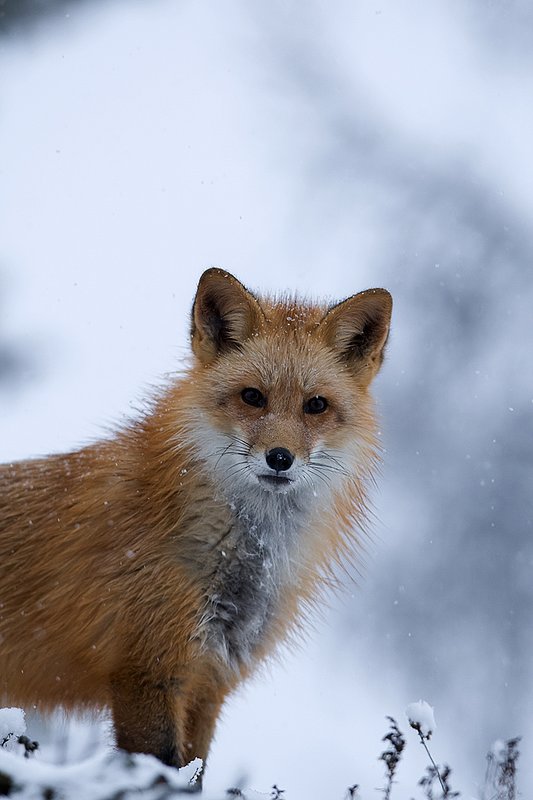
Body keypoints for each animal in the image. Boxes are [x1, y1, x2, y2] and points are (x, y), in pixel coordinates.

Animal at [0, 268, 392, 781]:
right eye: (252, 397)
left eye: (316, 406)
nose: (280, 458)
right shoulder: (148, 673)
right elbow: (160, 773)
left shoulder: (210, 684)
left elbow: (194, 772)